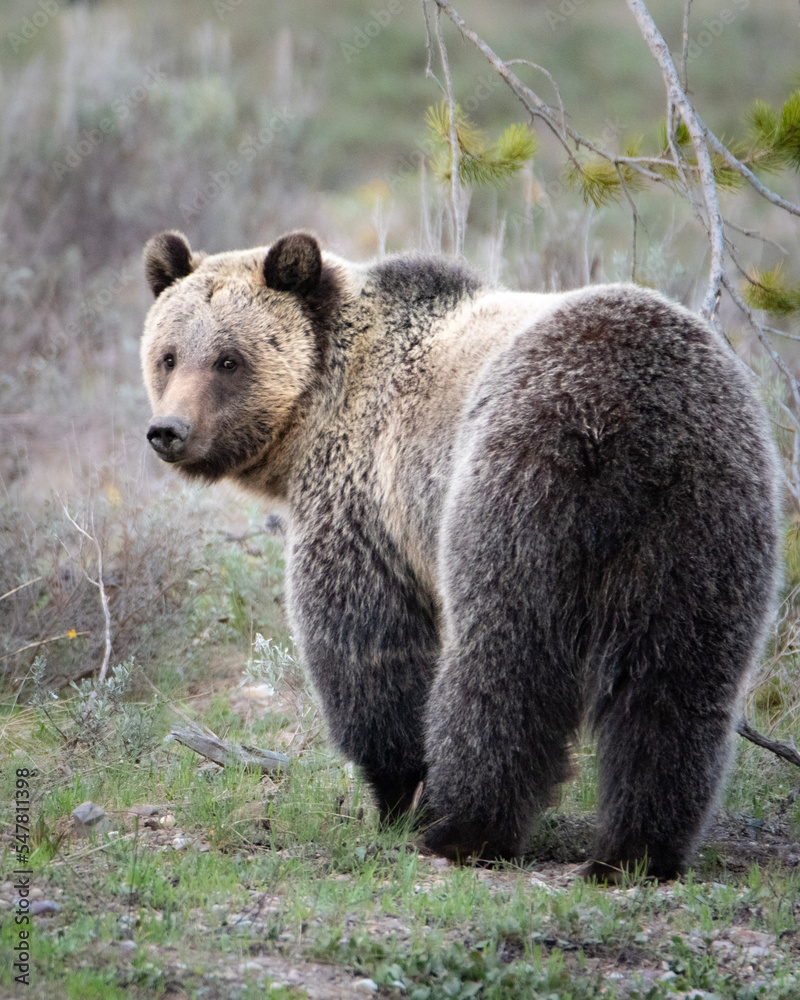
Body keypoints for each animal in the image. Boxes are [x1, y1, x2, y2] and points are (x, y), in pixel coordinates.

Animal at [141, 229, 781, 880]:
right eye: (169, 354)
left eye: (228, 359)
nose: (169, 430)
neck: (316, 409)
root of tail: (636, 415)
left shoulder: (363, 495)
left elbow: (364, 644)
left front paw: (398, 791)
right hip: (705, 519)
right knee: (675, 681)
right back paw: (638, 851)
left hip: (519, 475)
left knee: (503, 658)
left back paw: (464, 827)